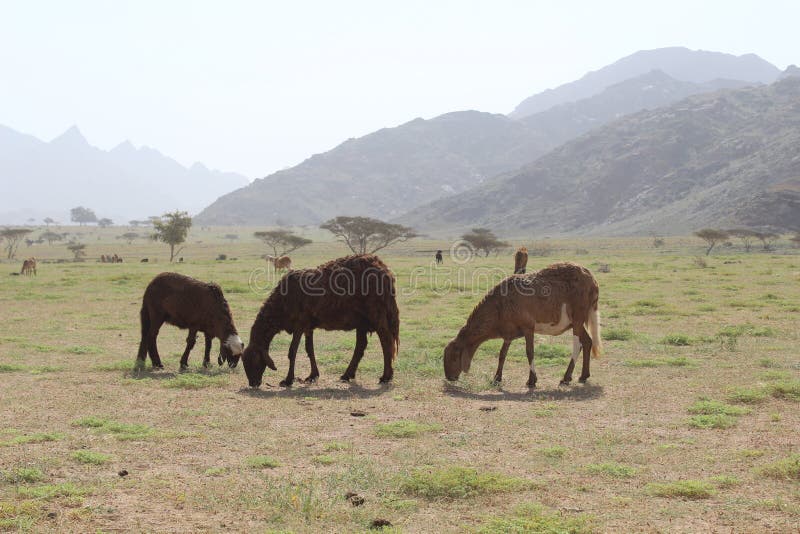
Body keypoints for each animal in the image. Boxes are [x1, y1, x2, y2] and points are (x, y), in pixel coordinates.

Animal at [239, 255, 398, 390]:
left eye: (253, 360)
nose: (253, 383)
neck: (281, 304)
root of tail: (385, 271)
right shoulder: (308, 326)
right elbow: (309, 349)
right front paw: (312, 375)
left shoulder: (299, 323)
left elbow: (292, 351)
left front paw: (288, 380)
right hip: (362, 320)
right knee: (361, 345)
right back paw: (347, 375)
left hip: (376, 313)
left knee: (386, 342)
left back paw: (386, 376)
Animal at [440, 264, 604, 390]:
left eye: (454, 357)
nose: (449, 377)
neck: (500, 304)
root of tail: (592, 280)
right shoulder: (508, 332)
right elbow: (502, 354)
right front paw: (496, 378)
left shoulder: (528, 328)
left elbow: (529, 352)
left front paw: (531, 380)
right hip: (576, 322)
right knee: (587, 342)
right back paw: (583, 376)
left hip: (577, 318)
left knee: (577, 346)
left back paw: (566, 378)